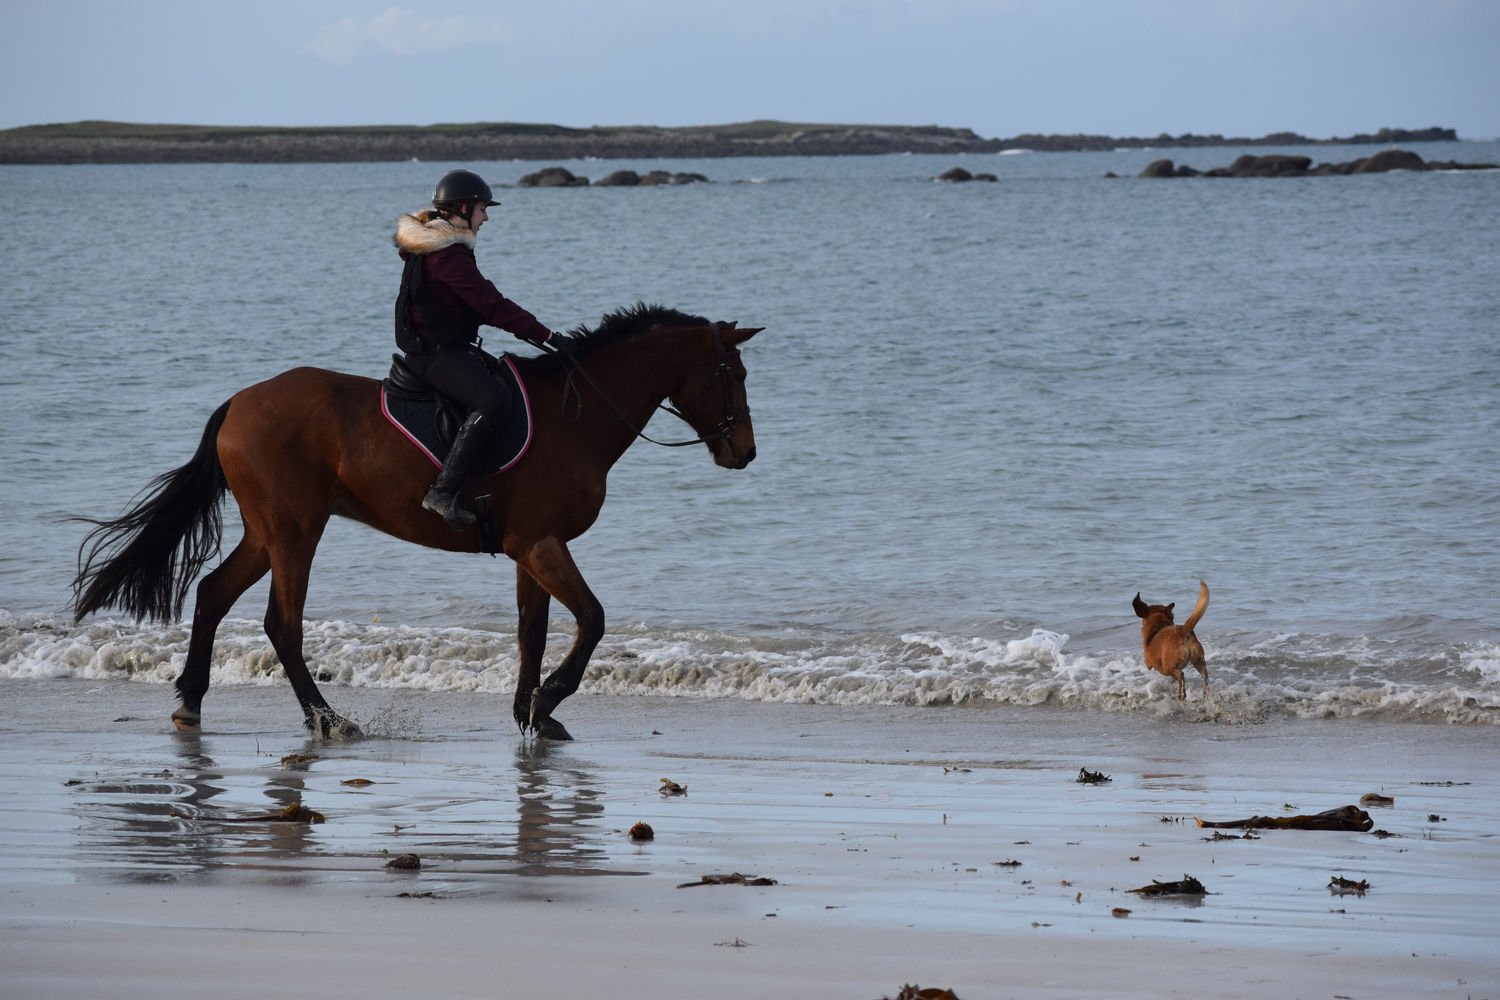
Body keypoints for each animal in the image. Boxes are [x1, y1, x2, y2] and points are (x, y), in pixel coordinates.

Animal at [73, 305, 762, 743]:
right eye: (735, 374)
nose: (746, 452)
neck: (578, 415)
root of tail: (240, 402)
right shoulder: (539, 543)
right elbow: (591, 620)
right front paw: (547, 699)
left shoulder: (530, 549)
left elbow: (532, 633)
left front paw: (533, 714)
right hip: (295, 531)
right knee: (282, 624)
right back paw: (328, 720)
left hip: (268, 530)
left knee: (214, 594)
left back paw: (191, 703)